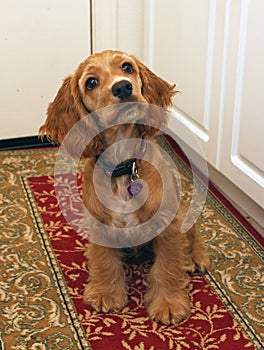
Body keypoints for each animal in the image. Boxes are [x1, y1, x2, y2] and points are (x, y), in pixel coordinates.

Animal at [39, 50, 209, 326]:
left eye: (127, 67)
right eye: (91, 82)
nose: (122, 87)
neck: (124, 165)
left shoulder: (168, 223)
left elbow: (168, 265)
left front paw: (169, 303)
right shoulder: (99, 223)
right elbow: (104, 260)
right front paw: (105, 292)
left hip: (182, 210)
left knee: (193, 234)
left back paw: (195, 257)